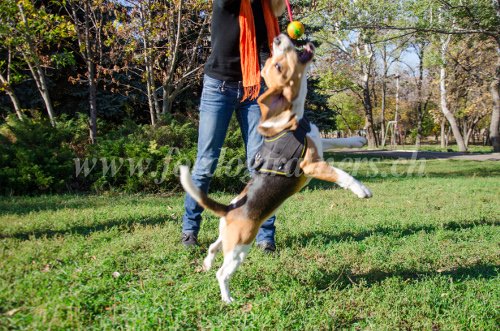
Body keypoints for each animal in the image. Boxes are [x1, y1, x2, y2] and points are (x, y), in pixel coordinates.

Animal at [180, 35, 372, 304]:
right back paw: (228, 298)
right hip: (240, 247)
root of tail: (230, 209)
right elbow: (341, 174)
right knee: (222, 272)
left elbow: (338, 141)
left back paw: (206, 264)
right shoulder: (312, 165)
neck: (291, 119)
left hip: (225, 238)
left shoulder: (318, 143)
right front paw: (361, 190)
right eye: (278, 66)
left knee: (212, 247)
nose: (278, 38)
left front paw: (358, 140)